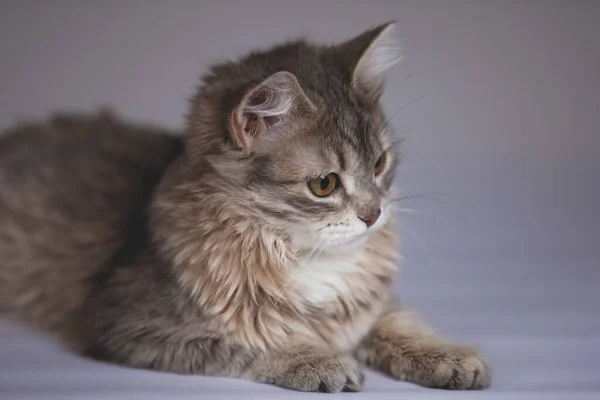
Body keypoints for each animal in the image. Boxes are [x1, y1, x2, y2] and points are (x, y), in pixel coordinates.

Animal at [0, 21, 490, 390]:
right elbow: (254, 341)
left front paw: (448, 355)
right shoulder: (126, 322)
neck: (305, 255)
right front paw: (320, 360)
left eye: (379, 164)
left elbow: (400, 321)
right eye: (324, 184)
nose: (373, 215)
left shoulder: (372, 306)